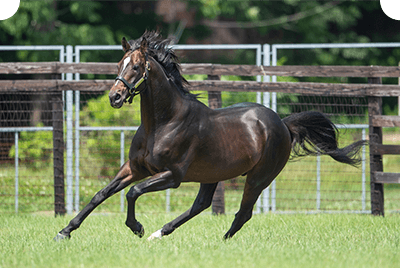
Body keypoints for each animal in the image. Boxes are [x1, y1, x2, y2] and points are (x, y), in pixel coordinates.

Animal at [54, 31, 368, 241]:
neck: (163, 123)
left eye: (136, 66)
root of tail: (282, 123)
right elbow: (101, 194)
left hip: (258, 178)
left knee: (243, 213)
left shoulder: (173, 175)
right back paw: (161, 233)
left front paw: (137, 228)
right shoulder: (134, 168)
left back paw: (220, 241)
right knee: (202, 205)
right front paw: (64, 231)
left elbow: (133, 192)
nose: (115, 97)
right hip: (213, 175)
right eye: (119, 63)